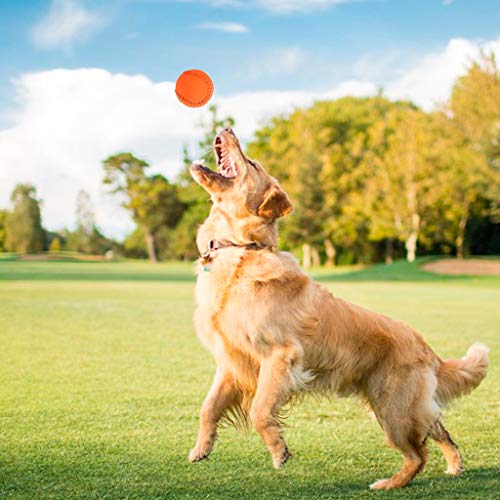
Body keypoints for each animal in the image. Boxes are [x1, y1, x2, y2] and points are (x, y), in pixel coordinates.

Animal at [188, 128, 488, 488]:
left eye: (253, 163)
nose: (229, 129)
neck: (241, 250)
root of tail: (427, 348)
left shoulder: (280, 356)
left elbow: (259, 410)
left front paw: (278, 451)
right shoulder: (231, 362)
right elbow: (207, 408)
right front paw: (201, 448)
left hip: (393, 410)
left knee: (418, 454)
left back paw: (389, 483)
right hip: (404, 407)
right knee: (439, 430)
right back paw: (454, 465)